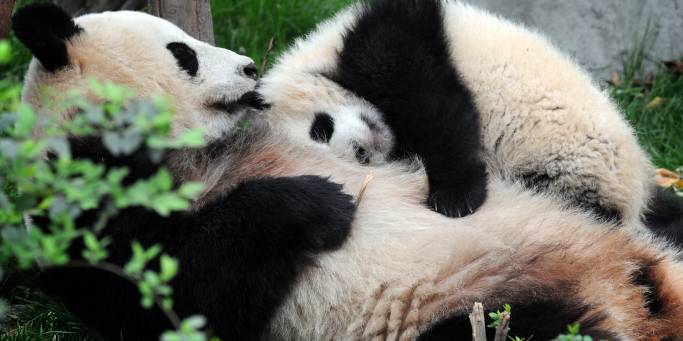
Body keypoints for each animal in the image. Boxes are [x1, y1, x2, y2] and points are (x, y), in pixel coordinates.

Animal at [258, 0, 656, 232]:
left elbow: (439, 110)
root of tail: (633, 203)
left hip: (580, 160)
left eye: (320, 129)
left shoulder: (390, 39)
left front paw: (455, 198)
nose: (361, 151)